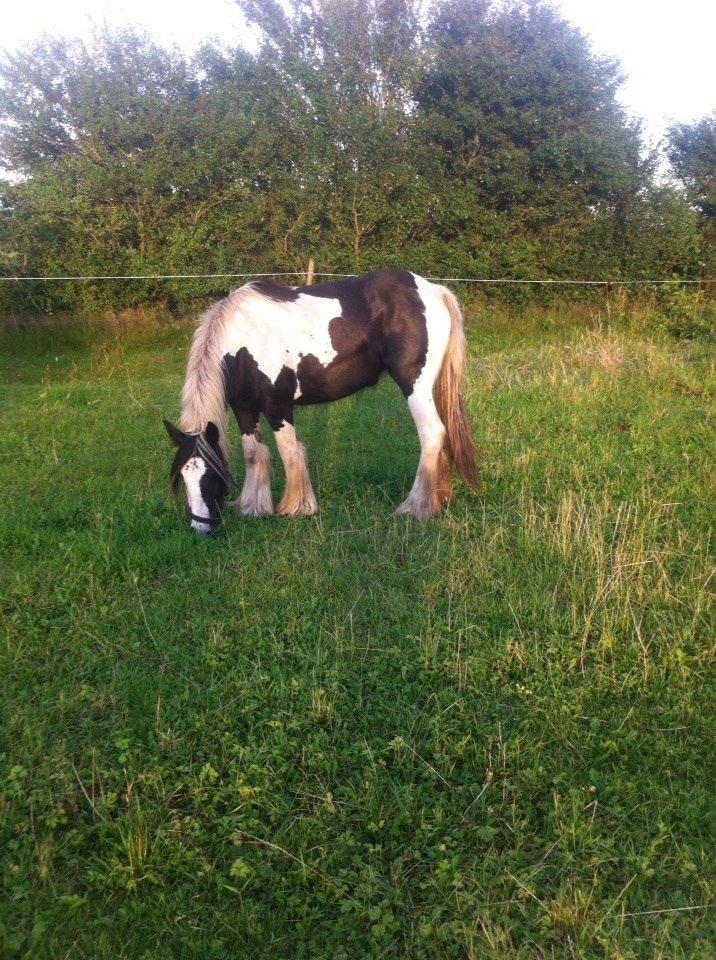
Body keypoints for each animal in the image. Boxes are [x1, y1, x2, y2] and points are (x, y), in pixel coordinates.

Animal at [162, 268, 476, 532]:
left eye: (210, 476)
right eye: (183, 479)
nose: (200, 529)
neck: (241, 343)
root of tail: (434, 290)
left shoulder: (278, 405)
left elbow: (289, 451)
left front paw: (296, 507)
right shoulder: (244, 408)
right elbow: (253, 453)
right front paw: (252, 507)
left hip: (414, 385)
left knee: (432, 434)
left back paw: (416, 507)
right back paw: (438, 499)